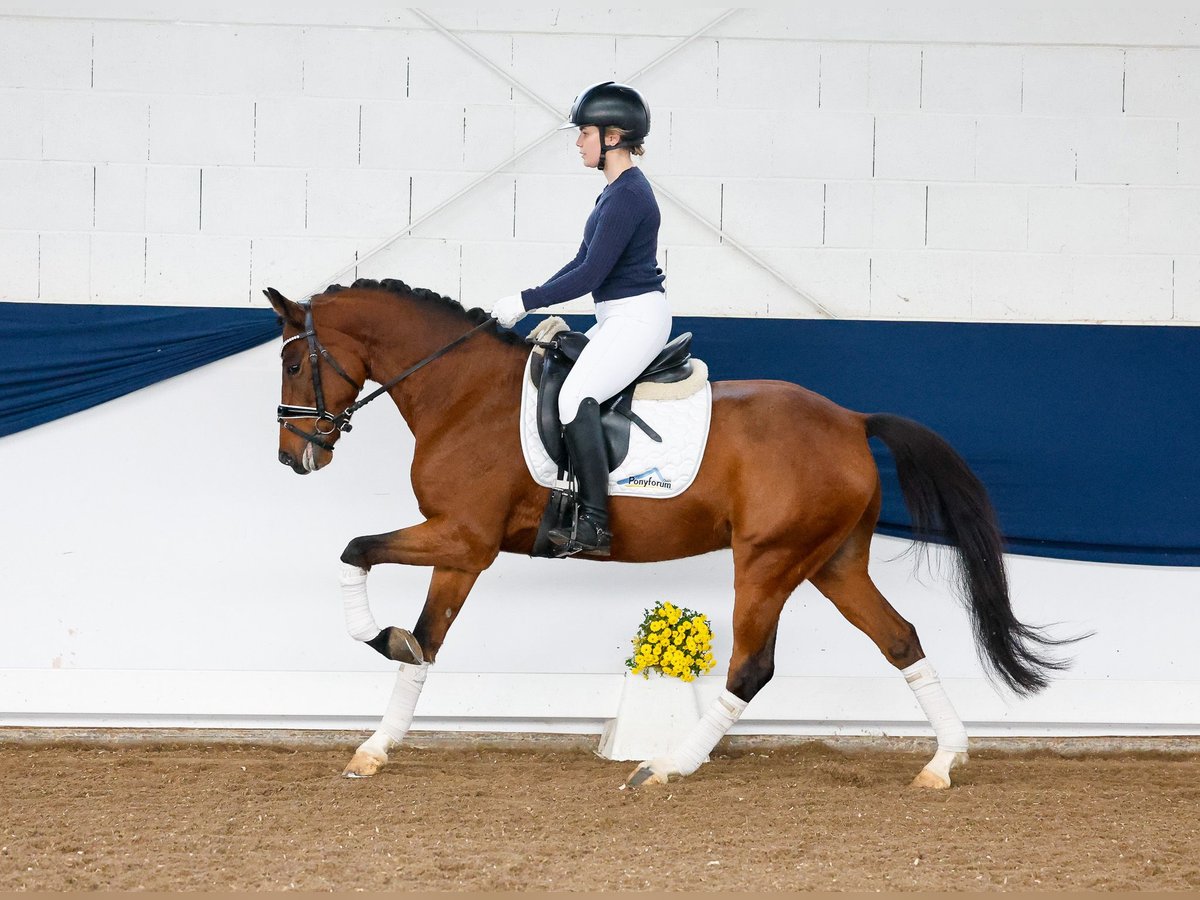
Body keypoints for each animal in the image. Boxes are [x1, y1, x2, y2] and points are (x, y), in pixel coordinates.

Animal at [267, 280, 1075, 787]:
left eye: (293, 360)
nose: (294, 456)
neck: (462, 394)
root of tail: (850, 419)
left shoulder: (463, 539)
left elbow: (355, 552)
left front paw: (378, 638)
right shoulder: (461, 551)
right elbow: (426, 644)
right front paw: (376, 745)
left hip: (768, 561)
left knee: (752, 668)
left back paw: (666, 766)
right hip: (833, 562)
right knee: (901, 639)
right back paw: (944, 761)